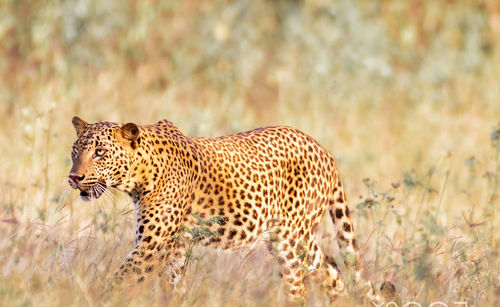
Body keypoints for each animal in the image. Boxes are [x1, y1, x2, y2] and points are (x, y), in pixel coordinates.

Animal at [66, 117, 378, 304]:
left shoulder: (152, 244)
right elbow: (173, 285)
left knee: (299, 284)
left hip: (291, 239)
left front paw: (95, 298)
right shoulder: (174, 247)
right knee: (332, 271)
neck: (138, 175)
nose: (74, 178)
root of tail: (326, 152)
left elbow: (121, 278)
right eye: (74, 151)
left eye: (100, 153)